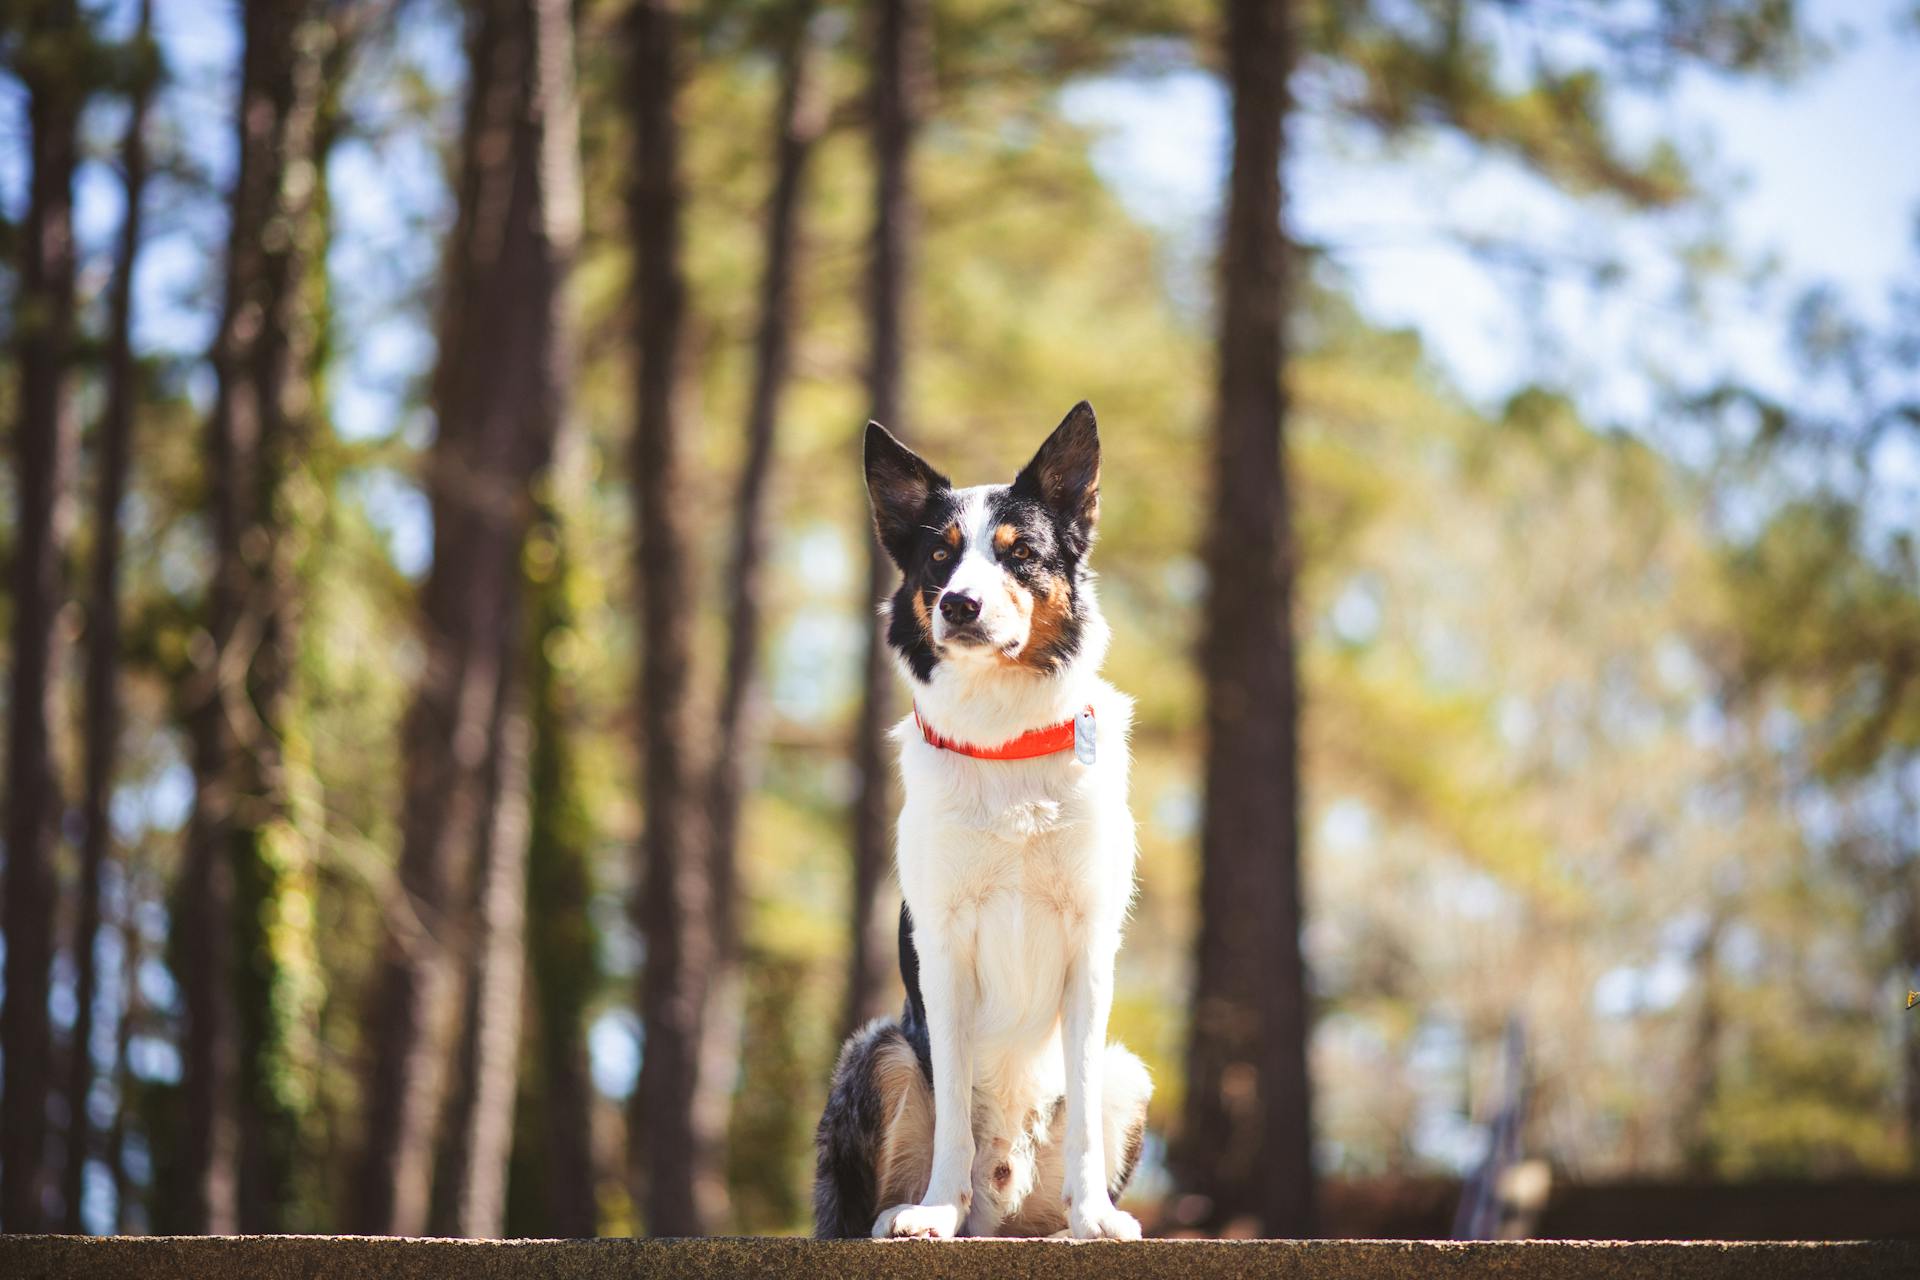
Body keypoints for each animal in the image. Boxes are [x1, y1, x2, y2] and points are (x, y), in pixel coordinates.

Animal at [814, 402, 1144, 1243]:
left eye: (1019, 553)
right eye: (940, 554)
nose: (960, 604)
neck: (1005, 738)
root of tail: (1000, 1213)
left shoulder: (1091, 943)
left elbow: (1083, 1110)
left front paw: (1097, 1219)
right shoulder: (944, 945)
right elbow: (958, 1104)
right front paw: (935, 1208)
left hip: (1128, 1069)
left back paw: (1061, 1224)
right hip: (878, 1049)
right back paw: (906, 1213)